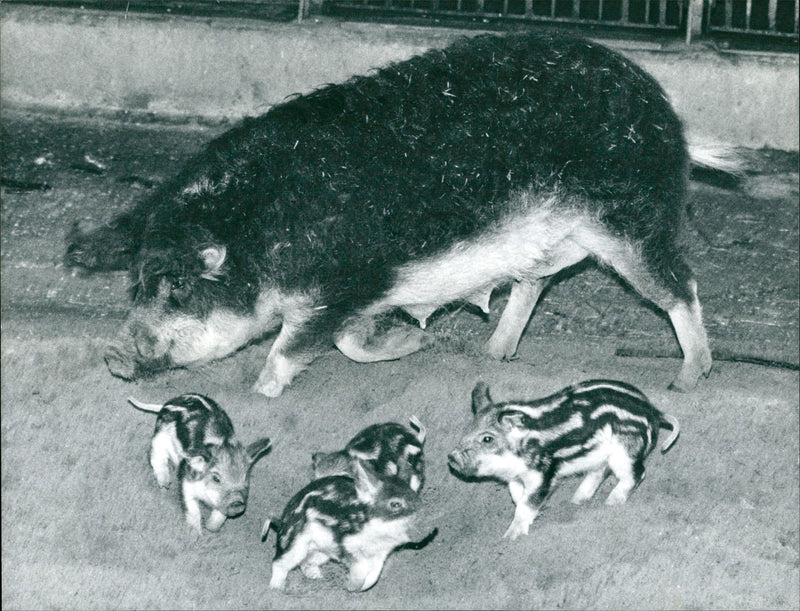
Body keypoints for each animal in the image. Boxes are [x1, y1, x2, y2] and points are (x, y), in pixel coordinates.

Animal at [65, 31, 737, 397]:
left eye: (179, 288)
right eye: (138, 286)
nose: (114, 354)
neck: (260, 235)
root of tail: (669, 118)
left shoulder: (344, 283)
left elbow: (296, 346)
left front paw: (260, 392)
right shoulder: (363, 294)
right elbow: (349, 341)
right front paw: (415, 343)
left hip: (630, 221)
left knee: (681, 286)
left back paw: (686, 378)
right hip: (554, 238)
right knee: (534, 284)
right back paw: (490, 354)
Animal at [128, 393, 272, 534]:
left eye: (245, 477)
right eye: (216, 478)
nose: (236, 502)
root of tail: (166, 404)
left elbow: (220, 515)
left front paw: (210, 528)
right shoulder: (186, 482)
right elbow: (193, 510)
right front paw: (195, 534)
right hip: (159, 440)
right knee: (157, 458)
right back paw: (165, 484)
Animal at [263, 461, 437, 591]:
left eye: (415, 496)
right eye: (395, 504)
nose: (431, 526)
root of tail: (281, 523)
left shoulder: (380, 555)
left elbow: (373, 577)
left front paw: (354, 588)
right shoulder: (347, 546)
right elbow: (361, 570)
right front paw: (349, 586)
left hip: (321, 552)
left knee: (306, 564)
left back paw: (318, 577)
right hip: (296, 546)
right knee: (279, 563)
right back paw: (276, 589)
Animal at [448, 380, 679, 539]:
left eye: (487, 438)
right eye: (468, 429)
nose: (451, 456)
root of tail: (654, 411)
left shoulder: (544, 473)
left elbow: (526, 504)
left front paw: (509, 538)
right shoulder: (515, 478)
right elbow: (517, 498)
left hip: (625, 452)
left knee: (636, 474)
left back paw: (610, 503)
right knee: (599, 473)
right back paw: (576, 502)